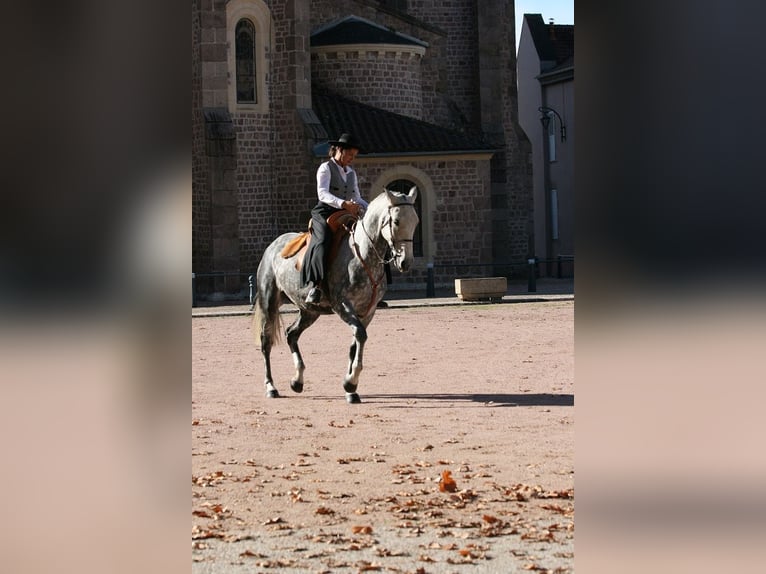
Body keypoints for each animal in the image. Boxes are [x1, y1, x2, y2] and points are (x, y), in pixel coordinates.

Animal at [252, 188, 420, 404]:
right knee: (266, 341)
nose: (406, 262)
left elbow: (355, 344)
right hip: (269, 302)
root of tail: (272, 245)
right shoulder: (343, 306)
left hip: (309, 311)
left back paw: (297, 381)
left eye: (416, 221)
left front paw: (350, 389)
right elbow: (360, 336)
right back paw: (271, 386)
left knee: (292, 334)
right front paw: (350, 382)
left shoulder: (368, 312)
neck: (363, 255)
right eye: (397, 221)